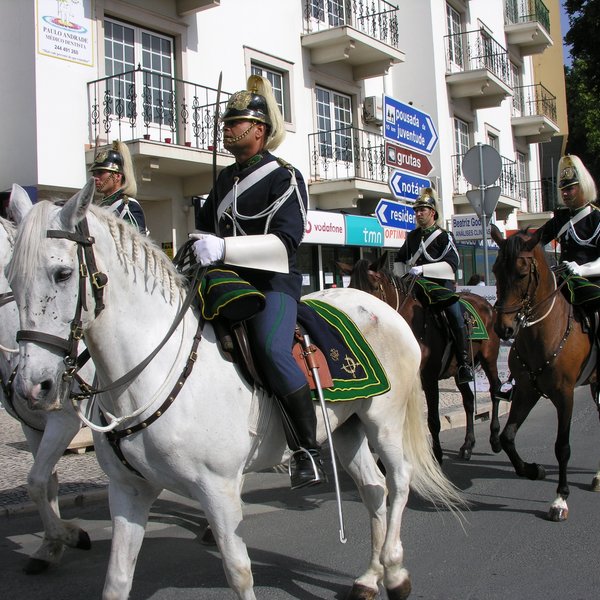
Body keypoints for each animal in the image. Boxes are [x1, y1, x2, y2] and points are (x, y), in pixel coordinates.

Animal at [8, 180, 464, 600]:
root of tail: (383, 309)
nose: (33, 385)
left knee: (400, 481)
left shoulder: (219, 491)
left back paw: (395, 572)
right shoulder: (128, 492)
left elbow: (239, 571)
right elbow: (117, 580)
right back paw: (369, 578)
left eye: (63, 273)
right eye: (11, 278)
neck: (152, 372)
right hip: (344, 430)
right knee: (374, 489)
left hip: (383, 422)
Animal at [340, 255, 504, 462]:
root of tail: (486, 304)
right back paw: (468, 445)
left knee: (495, 390)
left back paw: (495, 439)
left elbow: (433, 420)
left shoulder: (429, 378)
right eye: (351, 288)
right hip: (458, 371)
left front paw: (437, 455)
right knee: (468, 399)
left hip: (489, 358)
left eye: (374, 287)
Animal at [492, 225, 600, 520]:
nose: (504, 328)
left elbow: (562, 447)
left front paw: (560, 498)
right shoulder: (526, 390)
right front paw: (532, 470)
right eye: (495, 270)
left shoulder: (564, 395)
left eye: (522, 273)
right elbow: (507, 437)